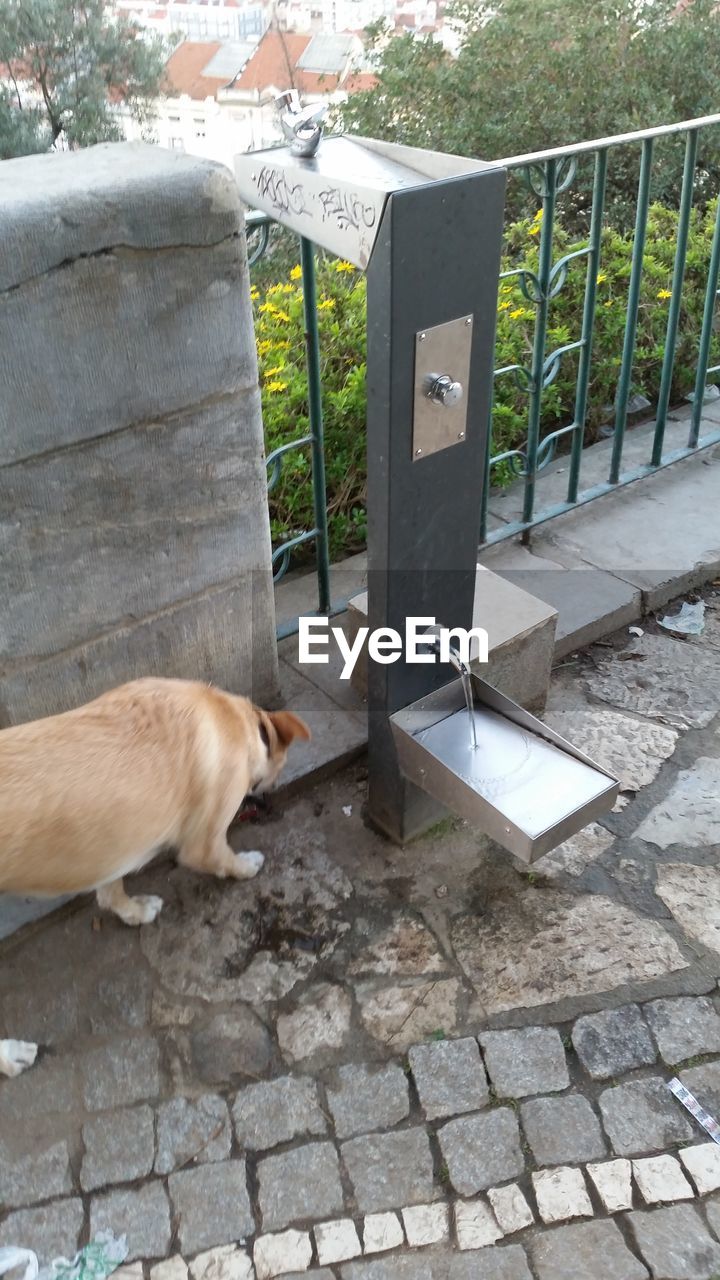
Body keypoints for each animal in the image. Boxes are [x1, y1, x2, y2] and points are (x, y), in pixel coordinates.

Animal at [0, 680, 308, 1080]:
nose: (270, 795)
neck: (229, 716)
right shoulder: (203, 844)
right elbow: (222, 858)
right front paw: (246, 865)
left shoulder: (111, 850)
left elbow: (110, 890)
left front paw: (133, 910)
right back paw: (11, 1057)